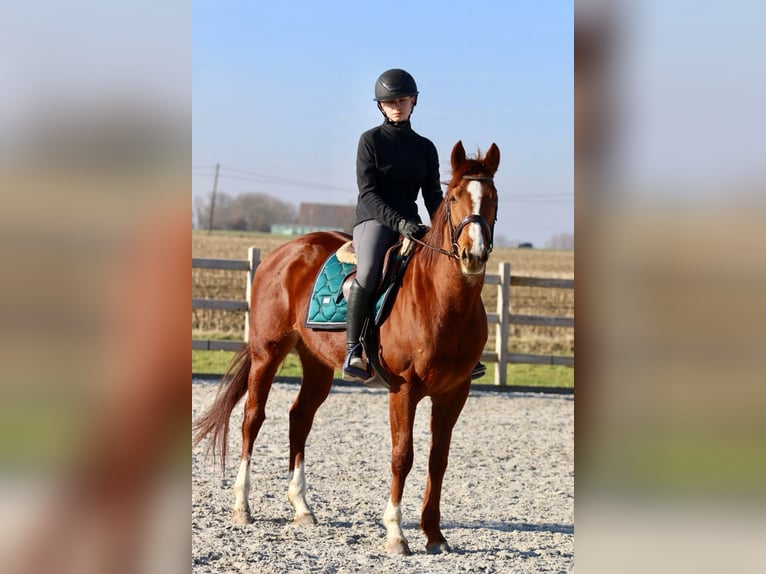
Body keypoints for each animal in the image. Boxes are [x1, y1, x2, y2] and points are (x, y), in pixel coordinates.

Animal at [195, 141, 500, 560]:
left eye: (493, 198)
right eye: (453, 197)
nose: (473, 254)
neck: (441, 301)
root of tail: (282, 252)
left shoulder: (455, 393)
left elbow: (439, 459)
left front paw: (434, 534)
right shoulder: (404, 389)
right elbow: (402, 456)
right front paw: (396, 534)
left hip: (317, 364)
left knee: (299, 418)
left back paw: (302, 508)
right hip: (267, 352)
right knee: (252, 419)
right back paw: (242, 506)